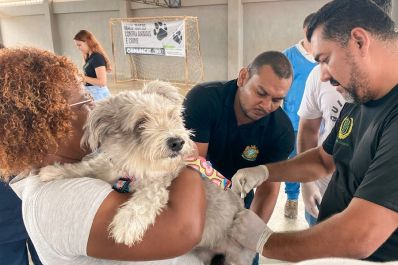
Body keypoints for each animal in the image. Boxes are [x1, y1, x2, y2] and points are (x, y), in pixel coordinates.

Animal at [39, 80, 255, 264]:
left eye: (171, 116)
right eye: (140, 123)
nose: (177, 142)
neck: (133, 168)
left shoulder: (161, 182)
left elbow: (148, 196)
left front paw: (128, 220)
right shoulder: (109, 166)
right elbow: (88, 167)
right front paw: (55, 171)